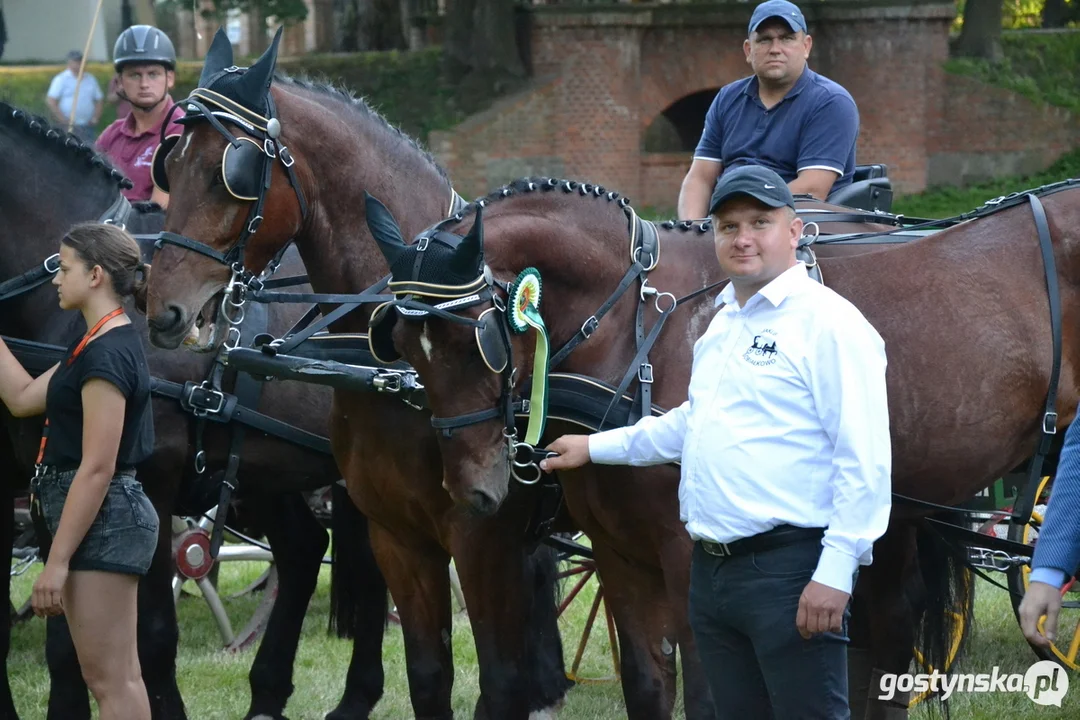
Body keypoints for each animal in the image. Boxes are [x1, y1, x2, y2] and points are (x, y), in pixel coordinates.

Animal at [0, 101, 390, 720]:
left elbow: (153, 633)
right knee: (305, 550)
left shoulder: (151, 481)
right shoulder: (51, 487)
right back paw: (270, 693)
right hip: (267, 468)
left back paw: (354, 695)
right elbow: (66, 635)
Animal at [358, 175, 1075, 720]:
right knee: (889, 630)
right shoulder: (620, 555)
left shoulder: (688, 558)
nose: (474, 490)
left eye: (479, 340)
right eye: (399, 342)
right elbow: (649, 686)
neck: (639, 328)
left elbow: (710, 695)